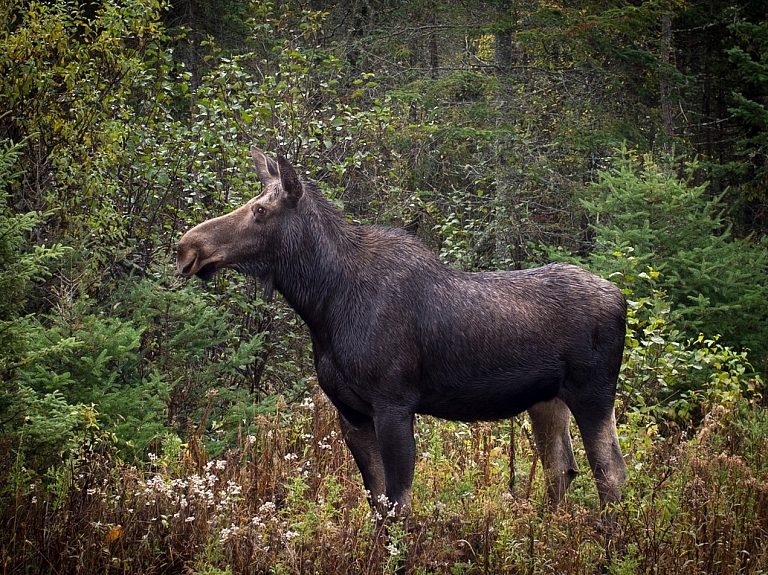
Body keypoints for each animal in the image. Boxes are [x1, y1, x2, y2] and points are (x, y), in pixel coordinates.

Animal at [177, 147, 628, 528]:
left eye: (260, 209)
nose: (186, 248)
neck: (323, 303)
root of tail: (622, 297)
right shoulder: (351, 412)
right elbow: (377, 504)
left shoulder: (393, 403)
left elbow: (398, 504)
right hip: (546, 400)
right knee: (562, 468)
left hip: (594, 392)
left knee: (610, 471)